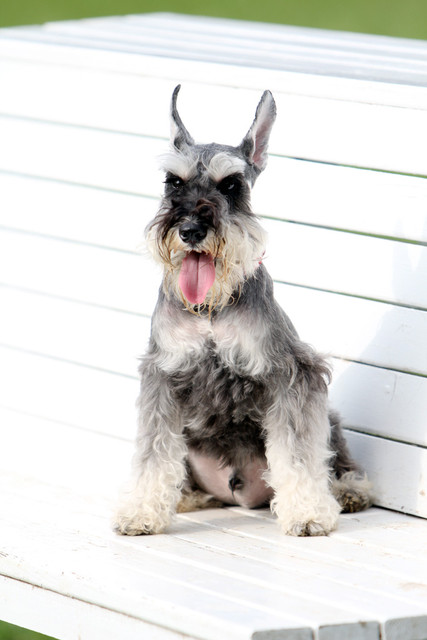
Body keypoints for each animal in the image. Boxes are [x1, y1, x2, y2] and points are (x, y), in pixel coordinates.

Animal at [114, 85, 374, 536]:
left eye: (232, 184)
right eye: (172, 182)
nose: (190, 230)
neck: (210, 308)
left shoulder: (292, 373)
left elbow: (298, 453)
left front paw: (307, 512)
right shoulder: (162, 375)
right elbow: (153, 450)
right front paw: (142, 512)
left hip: (330, 421)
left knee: (336, 459)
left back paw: (347, 492)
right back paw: (185, 497)